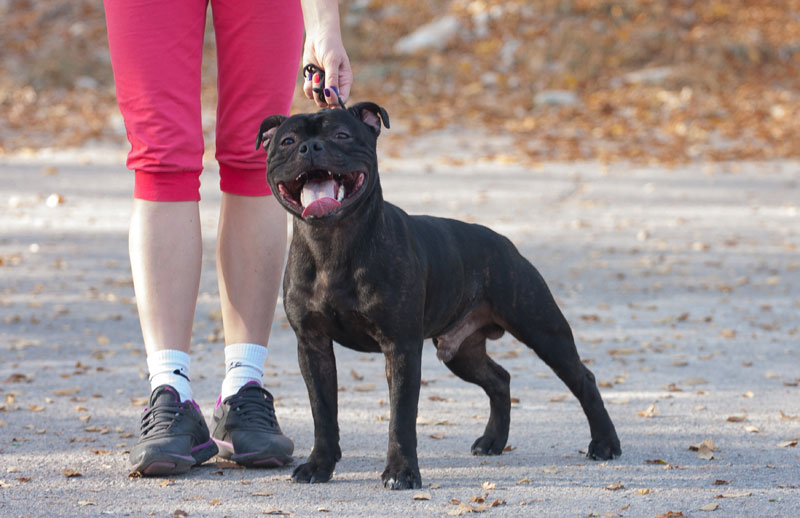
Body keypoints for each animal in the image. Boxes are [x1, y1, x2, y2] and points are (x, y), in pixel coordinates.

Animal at [256, 103, 621, 489]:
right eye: (287, 141)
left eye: (341, 134)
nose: (310, 147)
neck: (332, 243)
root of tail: (504, 242)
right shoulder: (313, 346)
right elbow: (323, 413)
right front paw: (319, 466)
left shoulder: (400, 346)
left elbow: (401, 417)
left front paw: (401, 472)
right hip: (462, 352)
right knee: (499, 379)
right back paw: (493, 441)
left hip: (542, 328)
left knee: (582, 378)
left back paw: (605, 444)